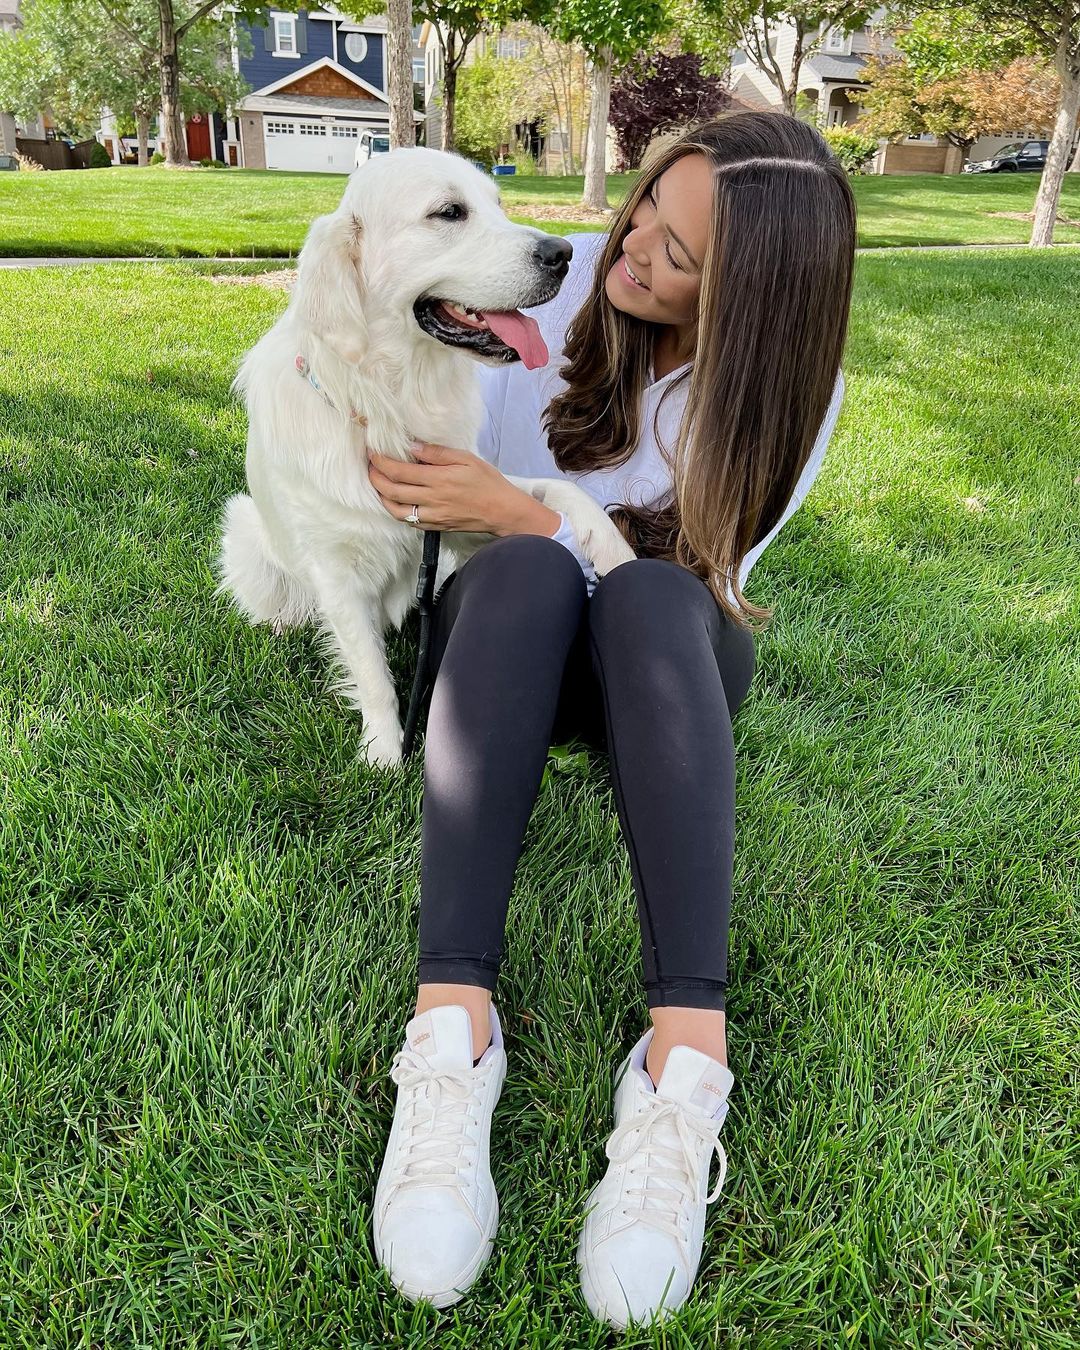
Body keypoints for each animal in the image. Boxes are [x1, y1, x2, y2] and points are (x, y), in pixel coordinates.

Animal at [217, 146, 631, 766]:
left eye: (498, 204)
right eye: (449, 212)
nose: (561, 253)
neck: (394, 404)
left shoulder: (463, 505)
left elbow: (556, 489)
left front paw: (611, 546)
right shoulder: (335, 569)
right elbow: (371, 672)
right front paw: (385, 754)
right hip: (244, 528)